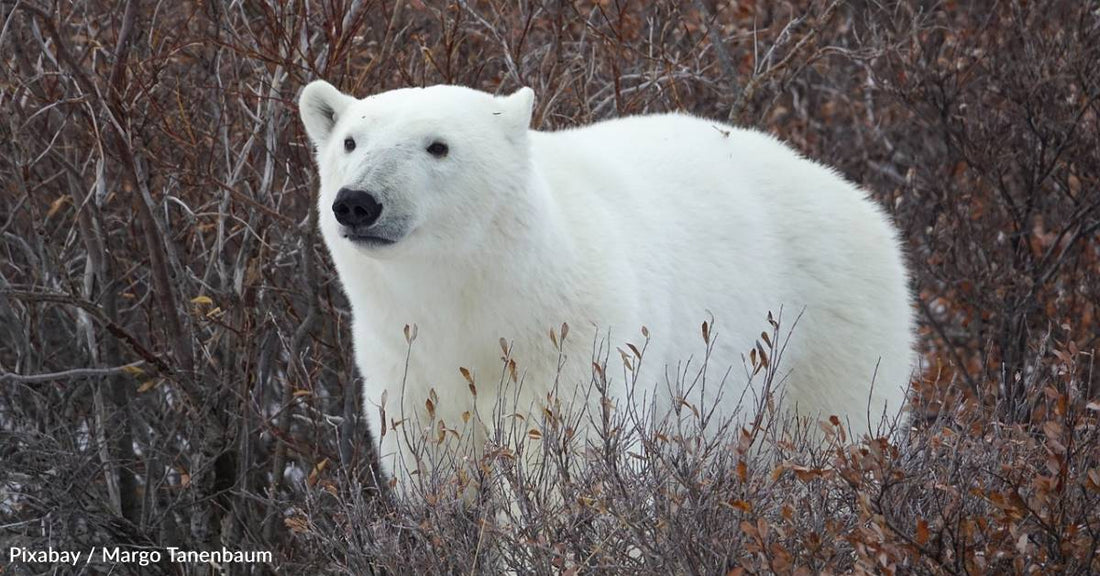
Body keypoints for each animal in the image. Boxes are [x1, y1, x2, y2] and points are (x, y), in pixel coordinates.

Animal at [298, 81, 916, 491]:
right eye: (350, 141)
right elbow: (431, 463)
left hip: (827, 331)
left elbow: (567, 464)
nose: (358, 202)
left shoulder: (571, 339)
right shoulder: (403, 356)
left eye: (438, 145)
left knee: (834, 437)